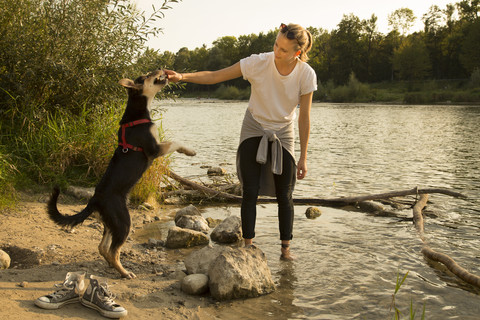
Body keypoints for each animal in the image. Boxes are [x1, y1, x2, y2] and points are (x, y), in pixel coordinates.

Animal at [47, 69, 193, 278]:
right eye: (147, 75)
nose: (162, 69)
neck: (137, 113)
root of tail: (94, 200)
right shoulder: (155, 149)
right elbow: (175, 142)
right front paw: (190, 151)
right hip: (123, 221)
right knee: (113, 251)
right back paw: (125, 272)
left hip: (111, 223)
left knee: (103, 248)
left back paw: (113, 266)